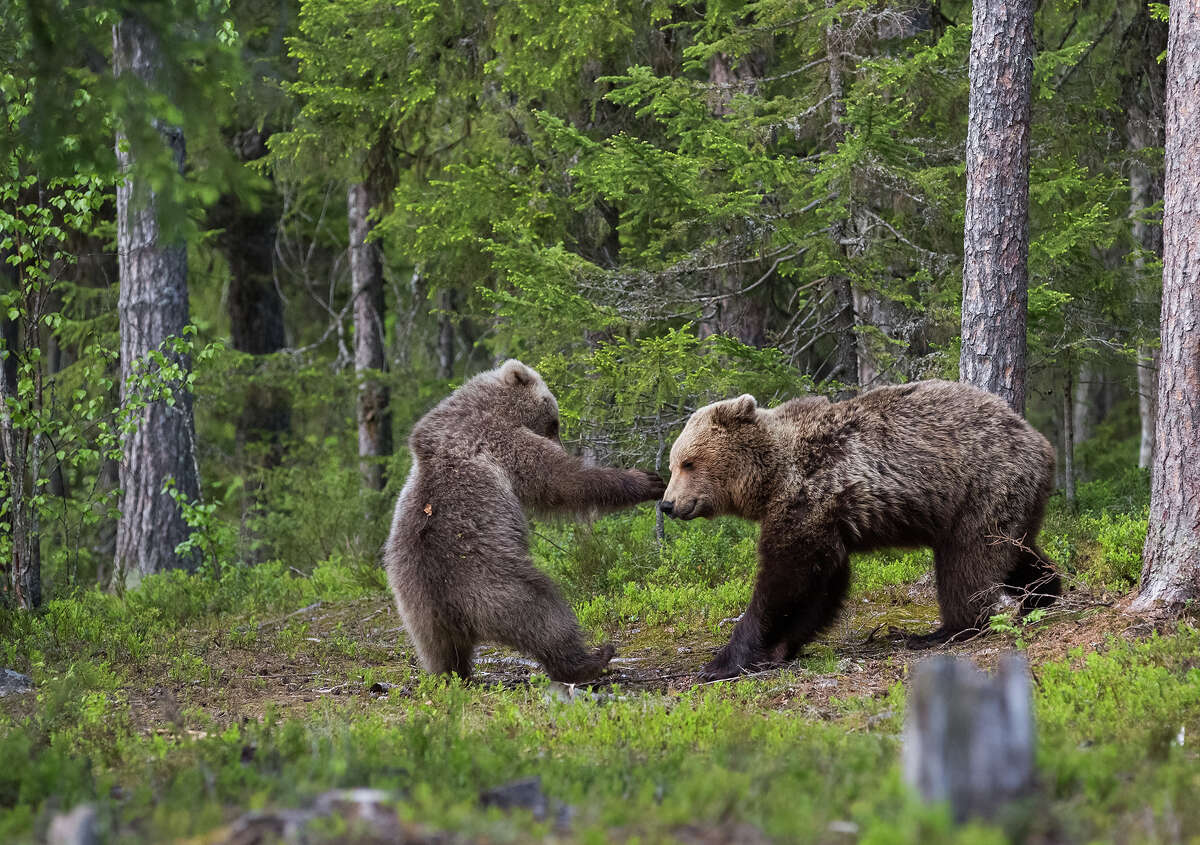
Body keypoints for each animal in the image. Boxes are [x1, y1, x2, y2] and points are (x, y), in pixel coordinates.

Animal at [384, 360, 667, 681]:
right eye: (554, 422)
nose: (561, 443)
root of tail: (451, 610)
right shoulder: (500, 438)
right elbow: (560, 479)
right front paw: (644, 480)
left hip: (416, 612)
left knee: (441, 653)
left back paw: (454, 676)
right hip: (497, 584)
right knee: (544, 616)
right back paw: (591, 660)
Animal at [662, 381, 1065, 681]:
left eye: (688, 462)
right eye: (673, 464)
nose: (667, 504)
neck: (771, 477)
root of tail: (1042, 443)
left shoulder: (809, 497)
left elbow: (787, 579)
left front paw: (721, 663)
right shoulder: (823, 518)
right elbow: (821, 585)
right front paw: (779, 648)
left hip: (981, 486)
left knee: (967, 560)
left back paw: (945, 630)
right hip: (1008, 499)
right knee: (1014, 548)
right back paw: (1043, 591)